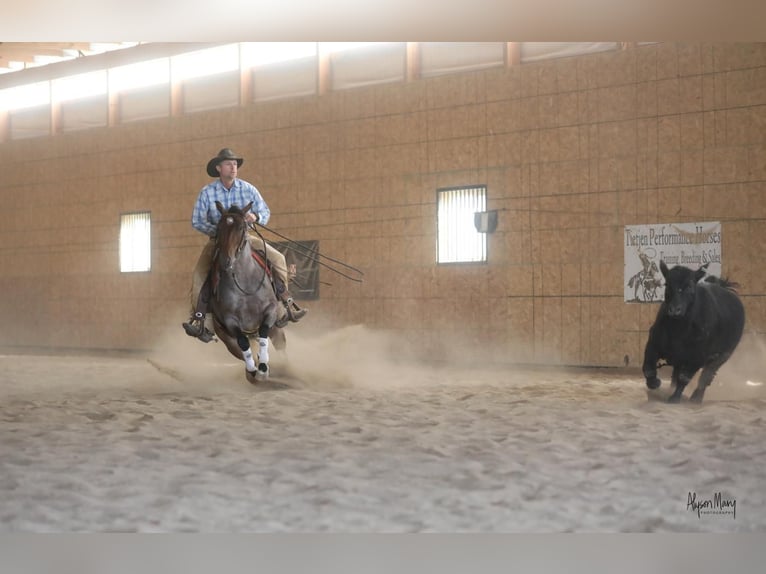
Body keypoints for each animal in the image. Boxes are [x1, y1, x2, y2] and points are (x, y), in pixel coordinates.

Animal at [207, 200, 284, 384]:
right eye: (219, 227)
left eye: (242, 227)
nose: (226, 261)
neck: (246, 285)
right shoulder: (230, 321)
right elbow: (243, 342)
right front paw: (255, 369)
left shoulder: (270, 311)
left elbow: (263, 331)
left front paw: (263, 368)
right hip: (227, 340)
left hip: (277, 329)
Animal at [644, 262, 748, 404]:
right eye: (667, 284)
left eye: (689, 286)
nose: (674, 310)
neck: (678, 330)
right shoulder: (652, 345)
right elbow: (648, 369)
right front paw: (655, 384)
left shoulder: (697, 358)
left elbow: (684, 378)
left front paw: (675, 398)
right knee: (676, 375)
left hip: (722, 356)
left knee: (706, 377)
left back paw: (696, 398)